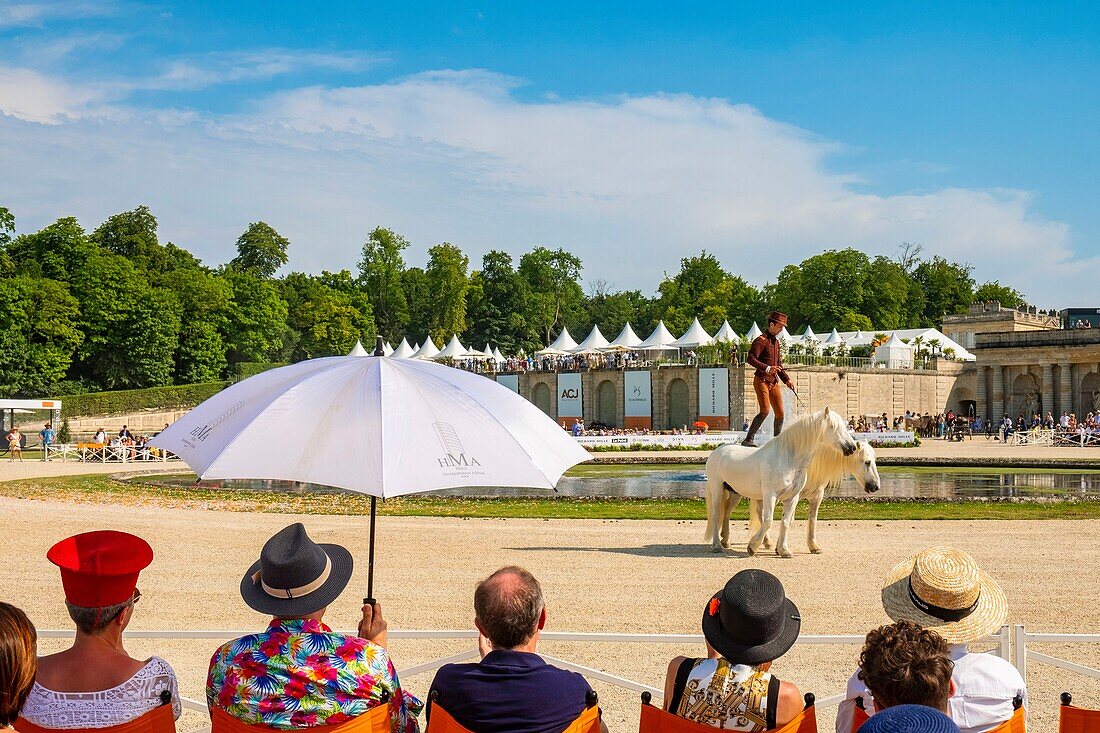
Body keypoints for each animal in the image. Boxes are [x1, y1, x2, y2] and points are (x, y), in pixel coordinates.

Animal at [708, 407, 880, 556]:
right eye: (867, 462)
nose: (851, 448)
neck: (789, 459)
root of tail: (718, 450)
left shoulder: (794, 497)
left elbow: (788, 522)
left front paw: (785, 550)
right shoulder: (771, 495)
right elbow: (769, 521)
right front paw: (753, 546)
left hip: (736, 492)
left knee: (727, 511)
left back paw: (727, 540)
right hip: (718, 490)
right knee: (717, 514)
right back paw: (717, 545)